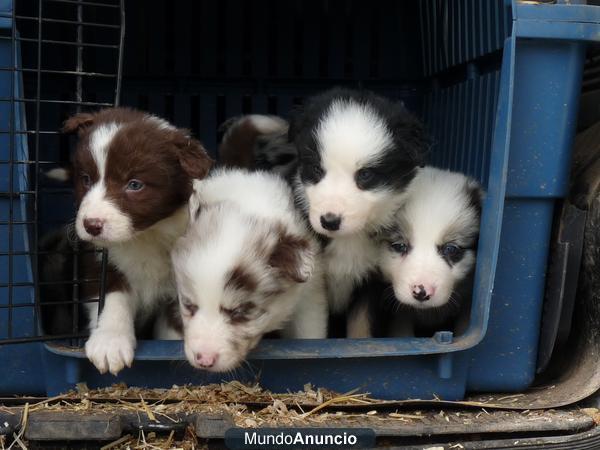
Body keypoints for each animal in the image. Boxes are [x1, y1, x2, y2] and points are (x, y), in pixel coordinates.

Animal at [63, 107, 212, 374]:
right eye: (86, 179)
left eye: (134, 185)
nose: (91, 225)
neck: (144, 236)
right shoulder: (101, 261)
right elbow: (111, 297)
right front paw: (109, 343)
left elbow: (174, 324)